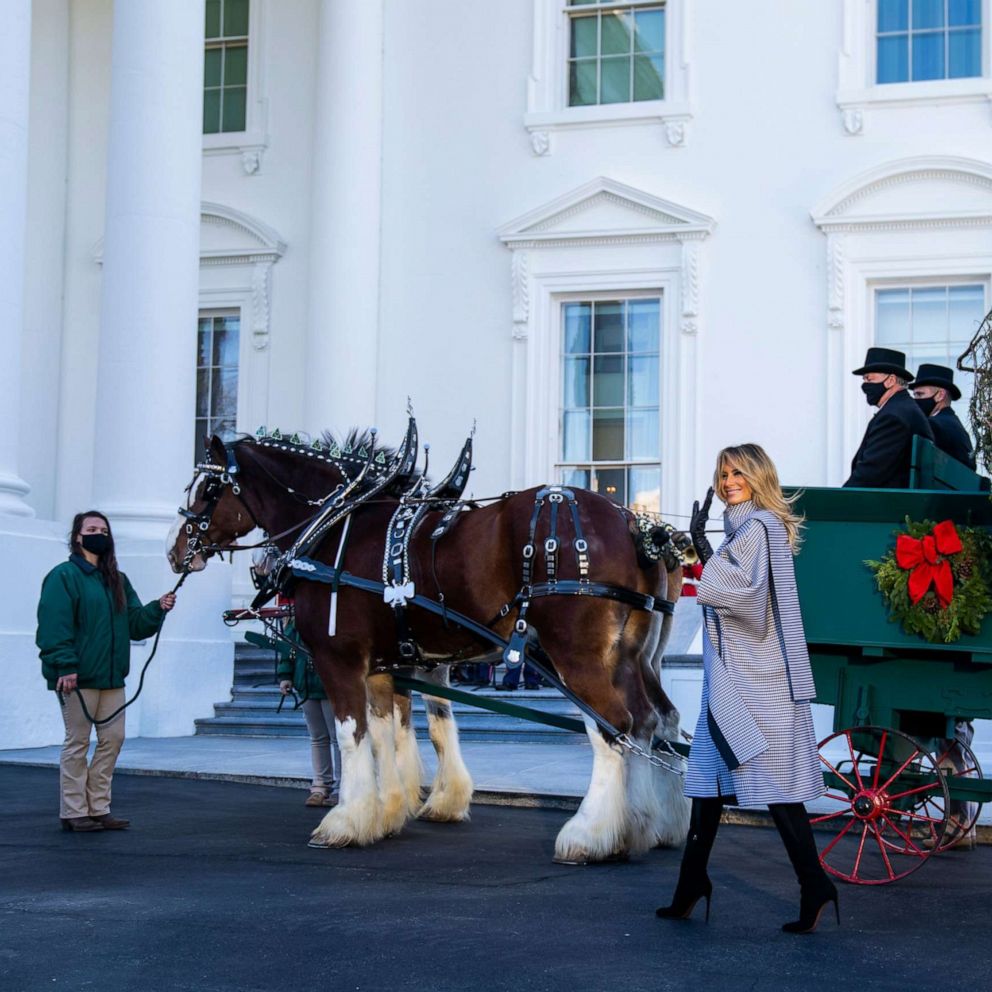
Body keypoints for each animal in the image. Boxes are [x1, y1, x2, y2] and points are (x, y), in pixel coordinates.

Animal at [169, 432, 688, 860]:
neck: (335, 525)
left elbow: (351, 735)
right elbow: (395, 733)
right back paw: (652, 825)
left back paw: (589, 833)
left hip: (576, 654)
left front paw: (344, 820)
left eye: (209, 488)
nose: (176, 551)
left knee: (613, 727)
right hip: (633, 657)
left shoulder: (340, 659)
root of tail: (636, 525)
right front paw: (389, 811)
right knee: (655, 722)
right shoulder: (387, 665)